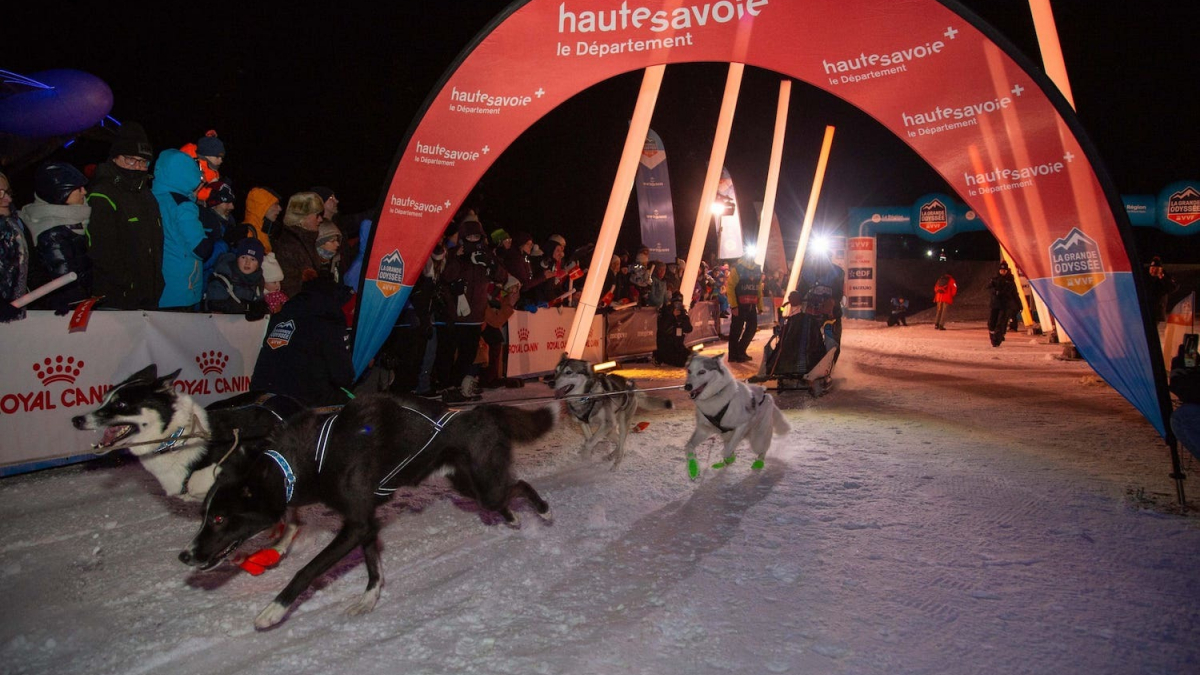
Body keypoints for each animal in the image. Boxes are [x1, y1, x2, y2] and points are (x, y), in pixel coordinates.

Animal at [176, 389, 552, 624]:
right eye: (204, 515)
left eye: (220, 517)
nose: (185, 555)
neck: (305, 462)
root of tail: (479, 411)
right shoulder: (365, 522)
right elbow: (373, 565)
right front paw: (369, 598)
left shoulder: (355, 524)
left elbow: (307, 570)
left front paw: (274, 610)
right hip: (466, 484)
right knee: (506, 494)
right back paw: (513, 517)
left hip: (484, 484)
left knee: (519, 484)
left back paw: (543, 509)